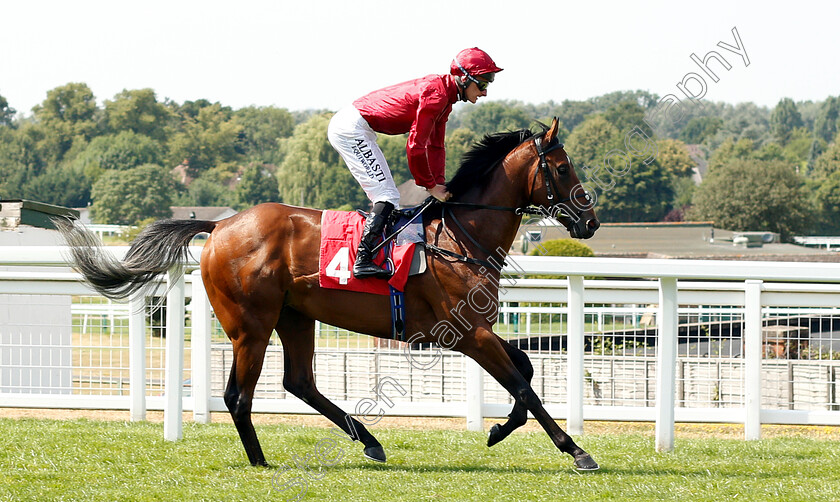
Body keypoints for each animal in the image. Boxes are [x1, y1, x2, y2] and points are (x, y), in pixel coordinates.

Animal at [55, 116, 600, 470]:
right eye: (564, 168)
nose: (591, 221)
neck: (461, 235)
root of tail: (221, 224)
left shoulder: (475, 330)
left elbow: (525, 369)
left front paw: (498, 429)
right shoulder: (466, 333)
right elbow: (524, 384)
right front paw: (575, 450)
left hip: (294, 316)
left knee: (299, 382)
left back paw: (369, 441)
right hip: (251, 326)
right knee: (238, 395)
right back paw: (260, 460)